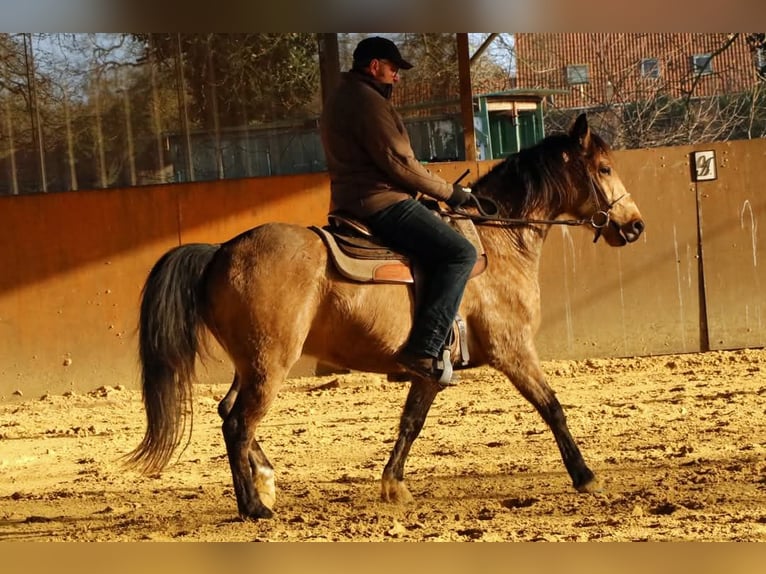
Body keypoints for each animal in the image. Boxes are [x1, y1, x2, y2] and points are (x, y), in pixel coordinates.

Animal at [127, 113, 645, 521]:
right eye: (603, 168)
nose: (635, 225)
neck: (497, 242)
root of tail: (220, 251)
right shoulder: (513, 350)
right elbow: (552, 406)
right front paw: (586, 476)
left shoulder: (431, 370)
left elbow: (410, 422)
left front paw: (393, 484)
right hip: (269, 363)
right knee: (238, 422)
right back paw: (254, 506)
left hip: (251, 363)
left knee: (229, 412)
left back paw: (266, 482)